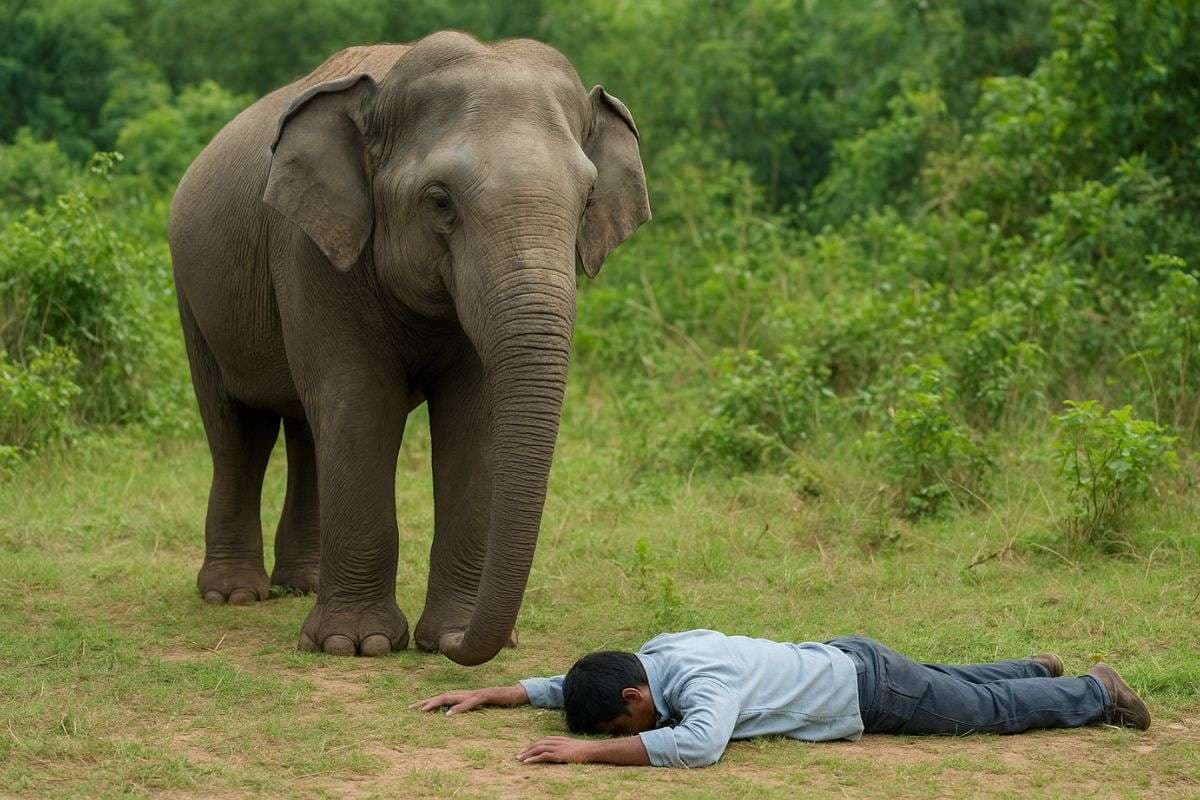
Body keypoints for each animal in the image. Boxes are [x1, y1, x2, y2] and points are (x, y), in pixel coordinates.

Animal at [168, 32, 650, 666]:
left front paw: (442, 635)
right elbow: (360, 401)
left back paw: (303, 585)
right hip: (192, 294)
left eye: (589, 197)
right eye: (440, 201)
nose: (467, 648)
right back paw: (234, 595)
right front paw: (357, 645)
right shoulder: (309, 248)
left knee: (306, 429)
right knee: (238, 431)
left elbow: (474, 418)